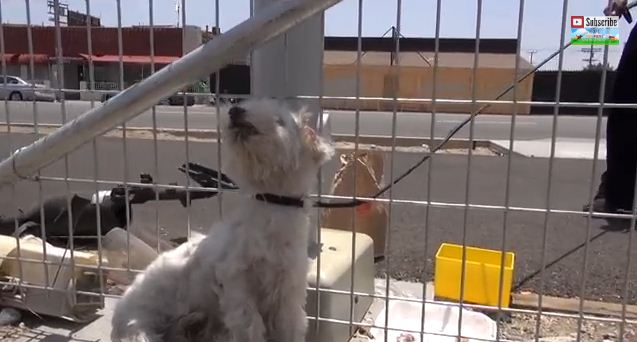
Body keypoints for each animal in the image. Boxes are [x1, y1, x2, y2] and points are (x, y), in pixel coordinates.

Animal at [110, 97, 336, 340]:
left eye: (280, 120)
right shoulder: (234, 279)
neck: (272, 204)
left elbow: (290, 324)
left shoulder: (287, 288)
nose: (235, 110)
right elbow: (250, 324)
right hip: (138, 327)